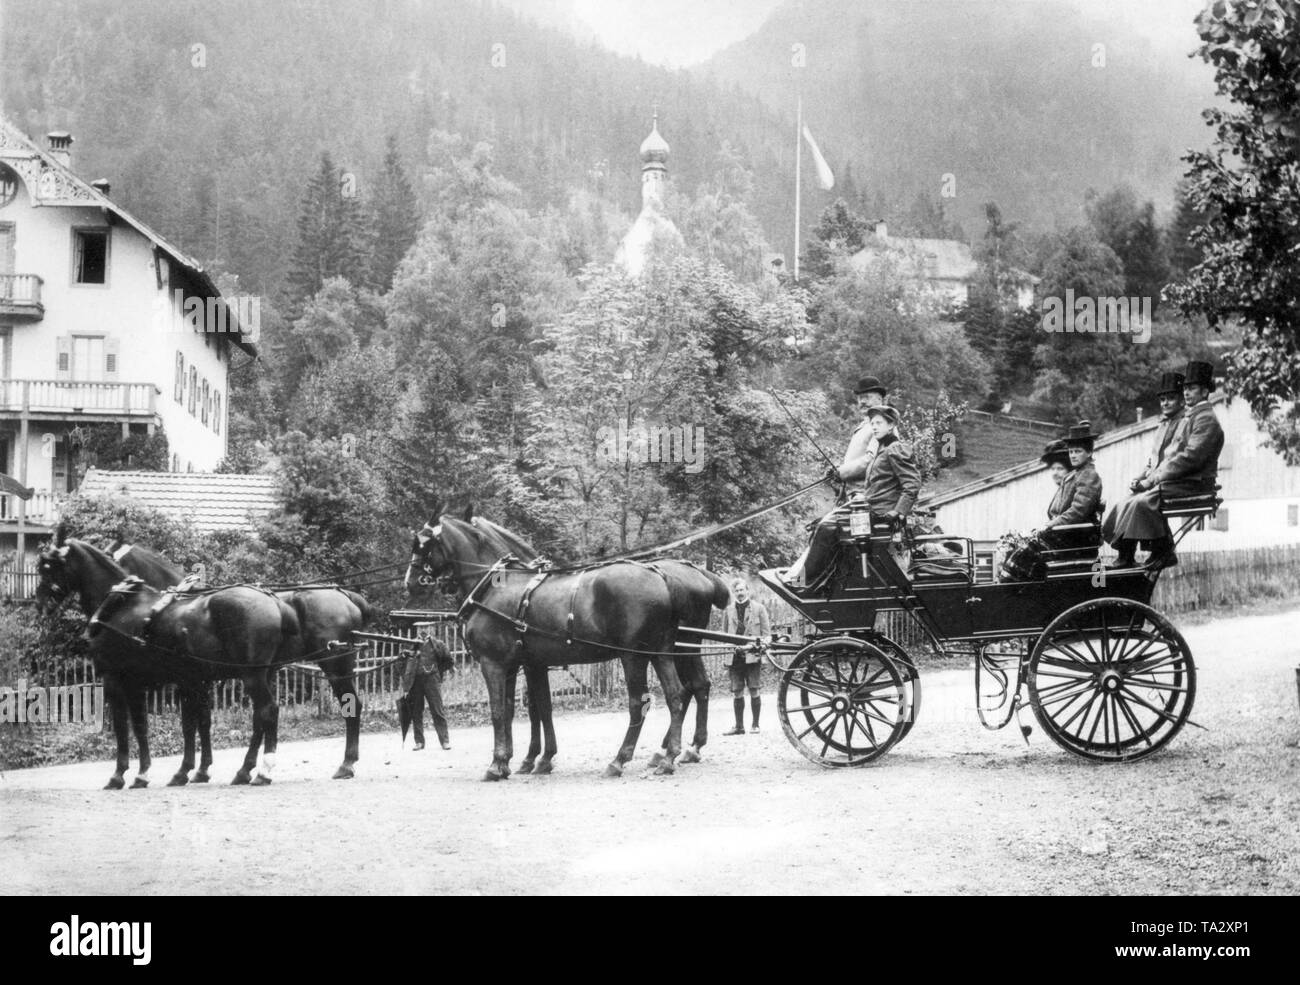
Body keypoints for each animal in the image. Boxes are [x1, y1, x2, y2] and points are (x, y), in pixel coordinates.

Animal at [405, 511, 733, 784]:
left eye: (422, 544)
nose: (409, 582)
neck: (497, 586)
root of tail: (664, 578)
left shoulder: (494, 664)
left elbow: (500, 711)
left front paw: (498, 765)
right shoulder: (526, 665)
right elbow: (532, 709)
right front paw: (531, 760)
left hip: (636, 657)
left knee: (641, 702)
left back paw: (621, 759)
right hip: (662, 652)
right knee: (680, 693)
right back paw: (670, 756)